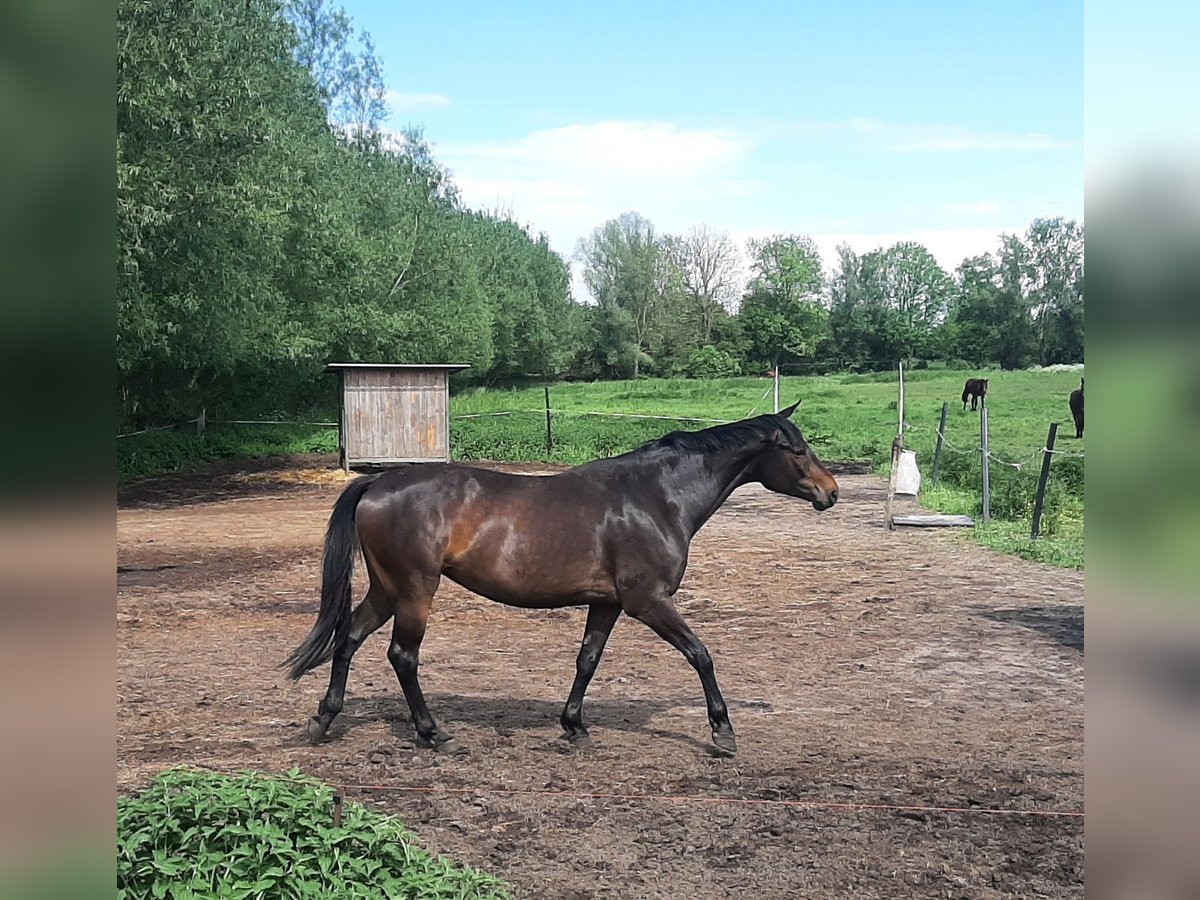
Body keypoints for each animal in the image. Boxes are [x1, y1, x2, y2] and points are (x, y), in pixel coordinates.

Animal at [284, 405, 840, 758]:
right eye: (796, 450)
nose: (831, 492)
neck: (654, 497)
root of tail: (378, 481)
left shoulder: (607, 604)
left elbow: (586, 661)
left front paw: (574, 726)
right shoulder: (648, 601)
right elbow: (700, 655)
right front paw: (723, 731)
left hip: (387, 591)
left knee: (348, 639)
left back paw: (324, 718)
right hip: (416, 592)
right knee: (402, 656)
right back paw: (432, 733)